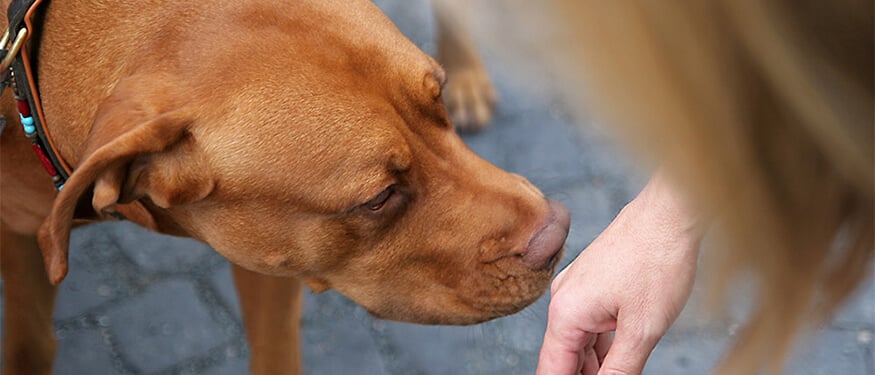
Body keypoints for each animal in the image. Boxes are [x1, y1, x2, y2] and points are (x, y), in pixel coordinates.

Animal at [0, 1, 572, 374]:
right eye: (377, 199)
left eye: (440, 101)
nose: (560, 234)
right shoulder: (19, 237)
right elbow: (30, 345)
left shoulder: (274, 265)